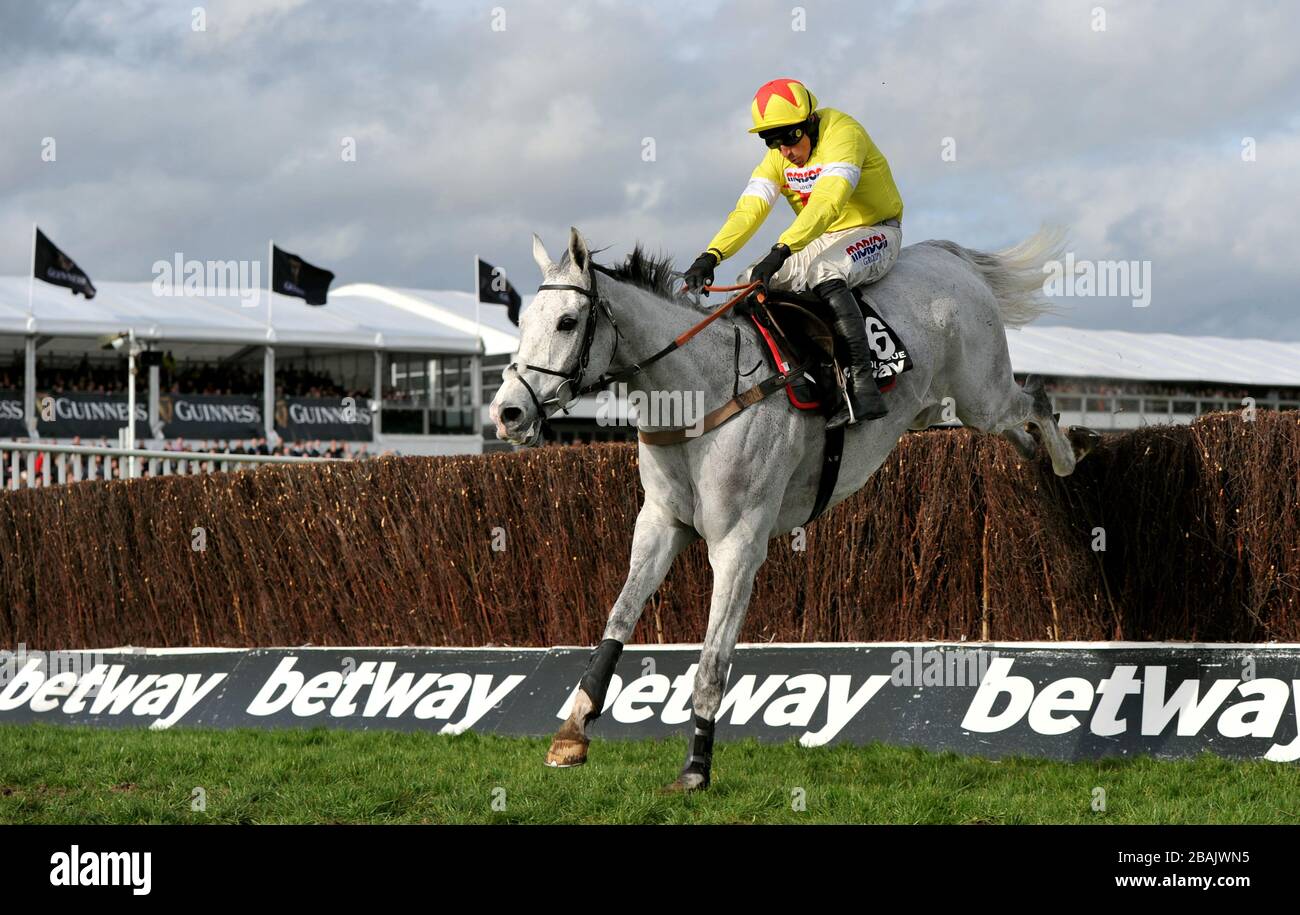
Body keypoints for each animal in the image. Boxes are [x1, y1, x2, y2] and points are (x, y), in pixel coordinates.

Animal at [491, 224, 1092, 790]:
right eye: (524, 322)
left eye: (567, 322)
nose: (508, 413)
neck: (699, 393)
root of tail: (947, 257)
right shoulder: (660, 525)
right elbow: (615, 623)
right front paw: (572, 731)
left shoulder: (738, 545)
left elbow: (711, 664)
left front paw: (696, 769)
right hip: (943, 410)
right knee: (1015, 426)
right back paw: (1037, 455)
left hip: (980, 394)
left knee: (1035, 401)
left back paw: (1069, 456)